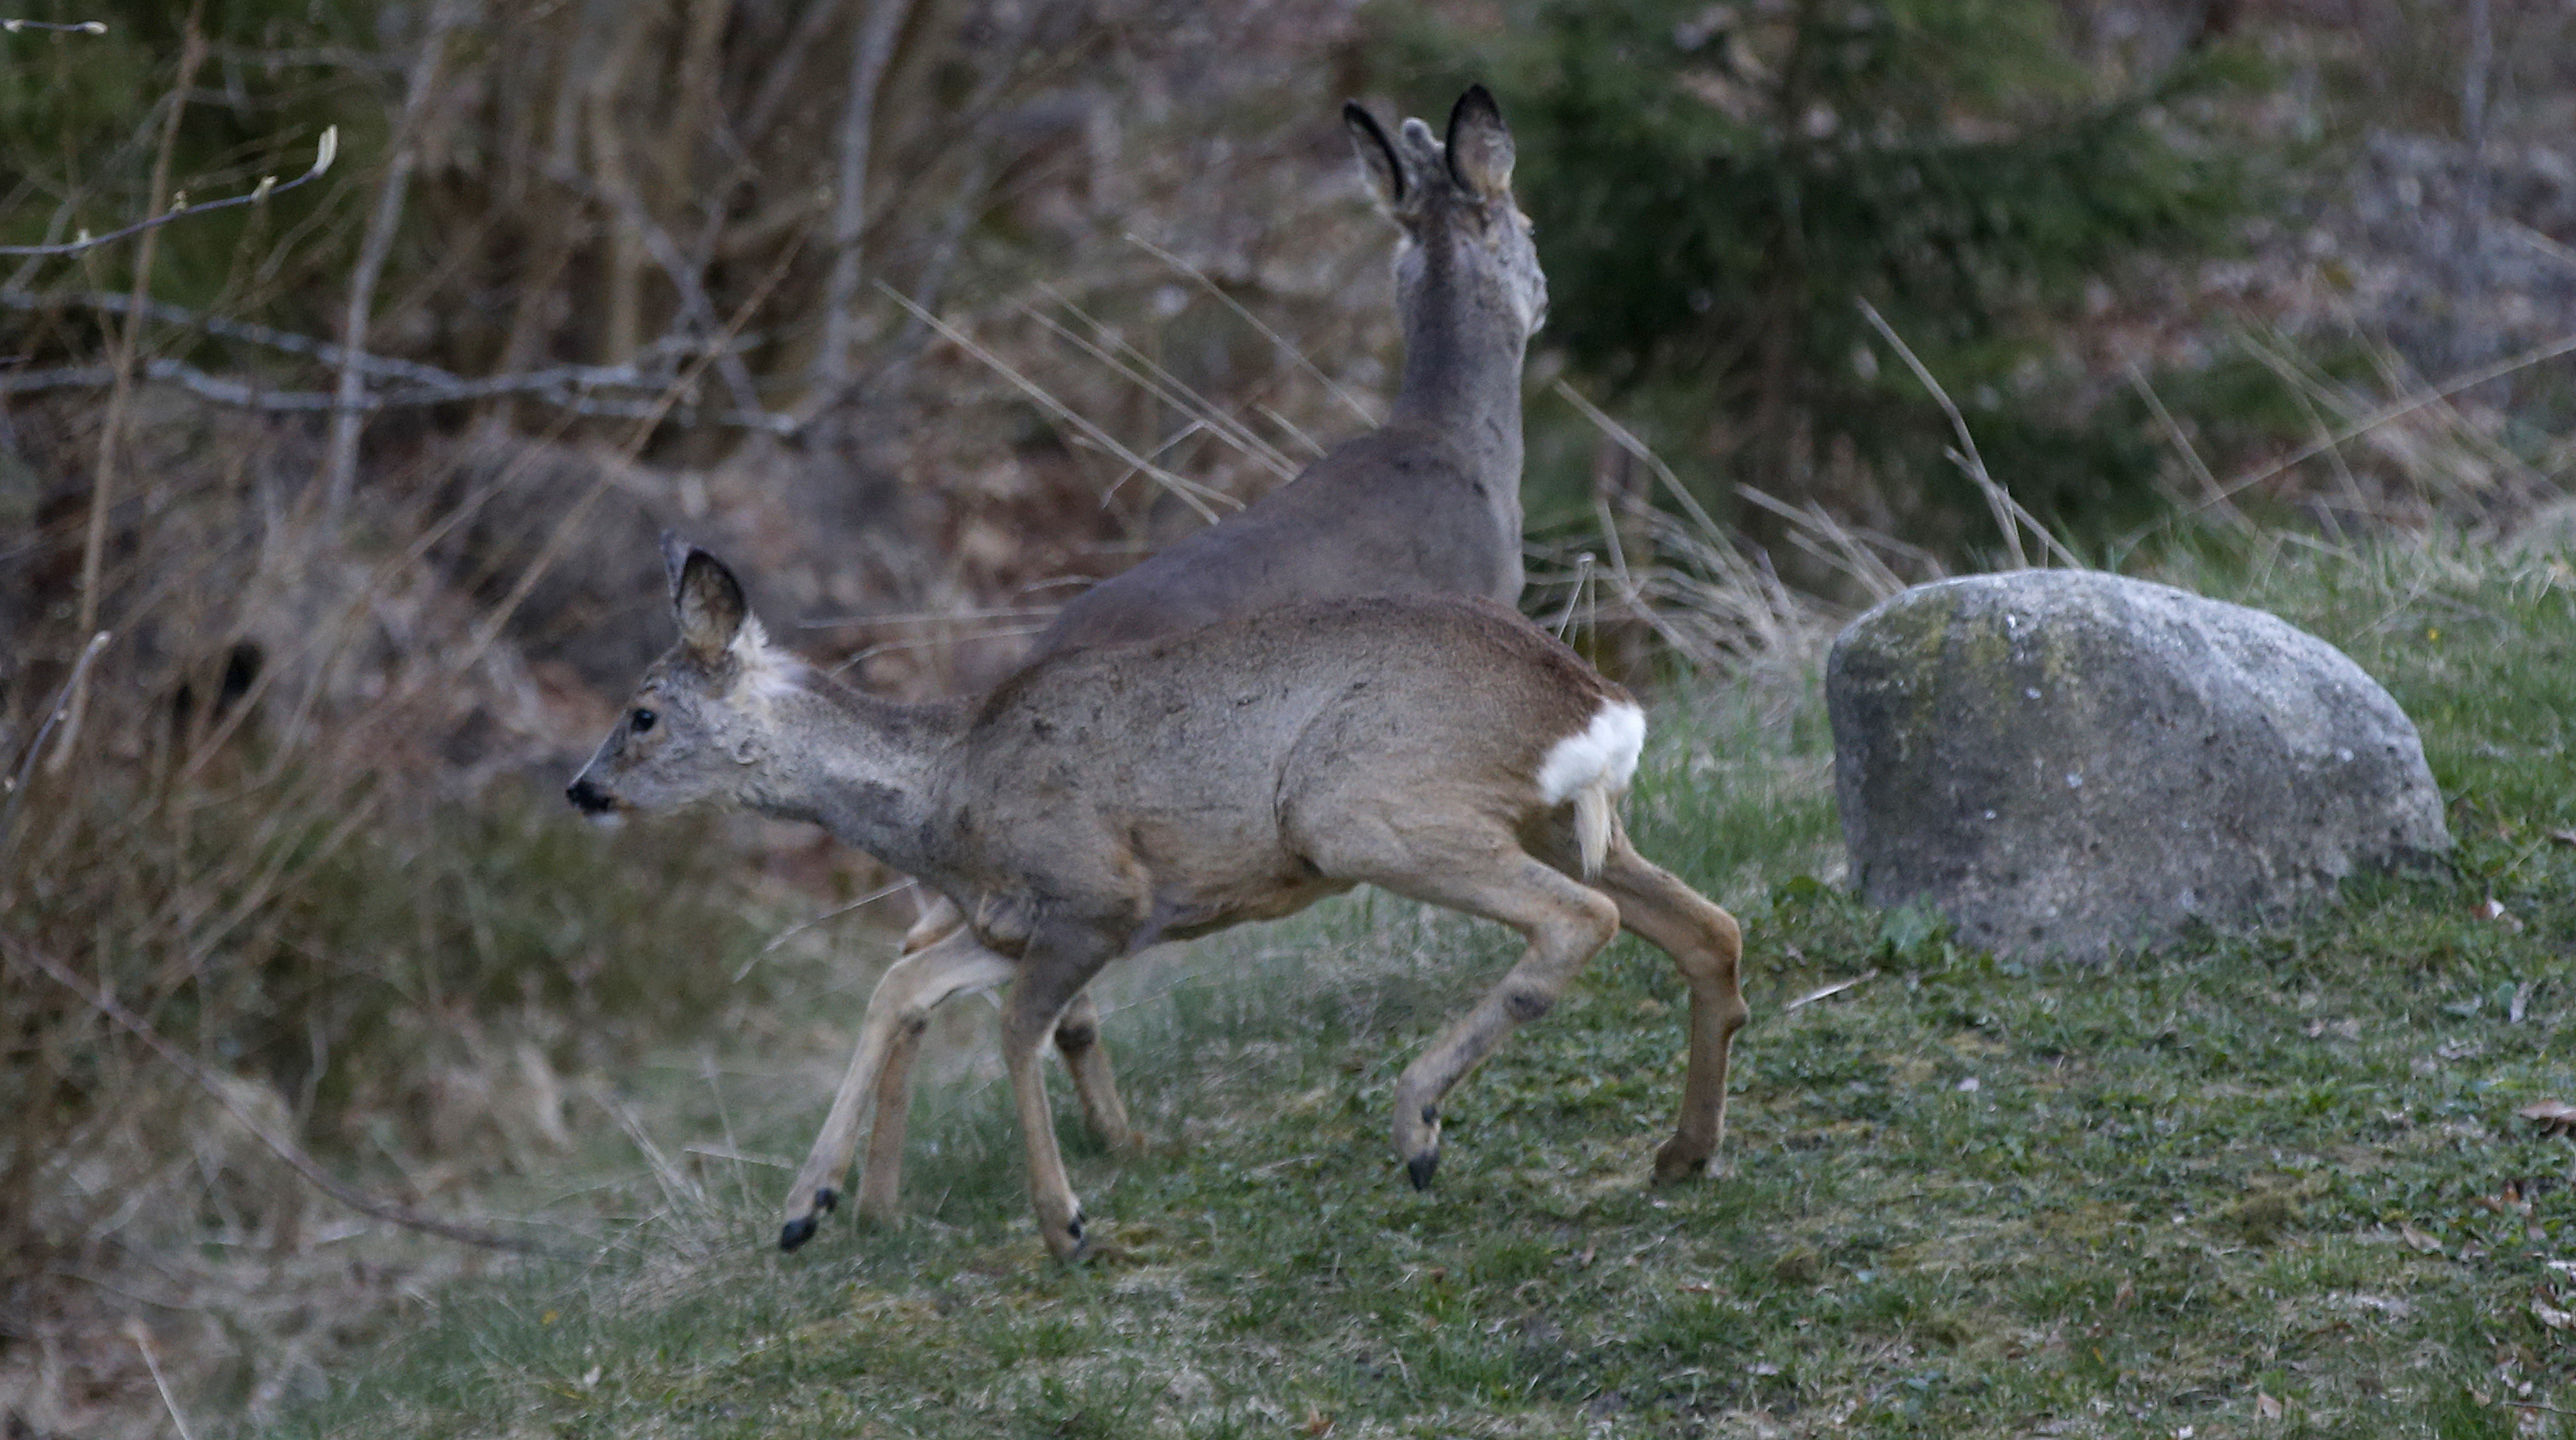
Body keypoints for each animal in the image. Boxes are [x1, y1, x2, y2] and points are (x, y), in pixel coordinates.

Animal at [569, 546, 1752, 1267]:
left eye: (641, 713)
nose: (580, 789)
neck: (946, 795)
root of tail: (1594, 701)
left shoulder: (1099, 894)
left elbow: (1014, 1030)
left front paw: (1064, 1224)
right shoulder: (1017, 920)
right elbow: (900, 985)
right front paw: (803, 1208)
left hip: (1361, 805)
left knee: (1579, 921)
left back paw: (1417, 1122)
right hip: (1559, 822)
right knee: (1709, 928)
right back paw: (1681, 1153)